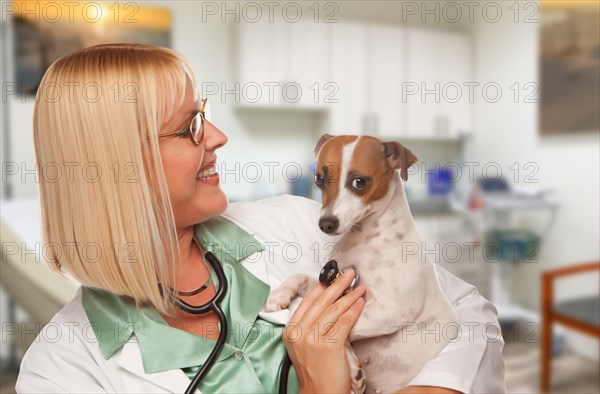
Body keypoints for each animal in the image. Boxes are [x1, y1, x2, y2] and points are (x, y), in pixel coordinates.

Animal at [264, 134, 458, 392]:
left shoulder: (389, 310)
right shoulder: (332, 283)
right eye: (319, 179)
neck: (365, 239)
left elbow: (342, 330)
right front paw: (279, 294)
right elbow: (300, 276)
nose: (326, 223)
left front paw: (352, 365)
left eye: (359, 182)